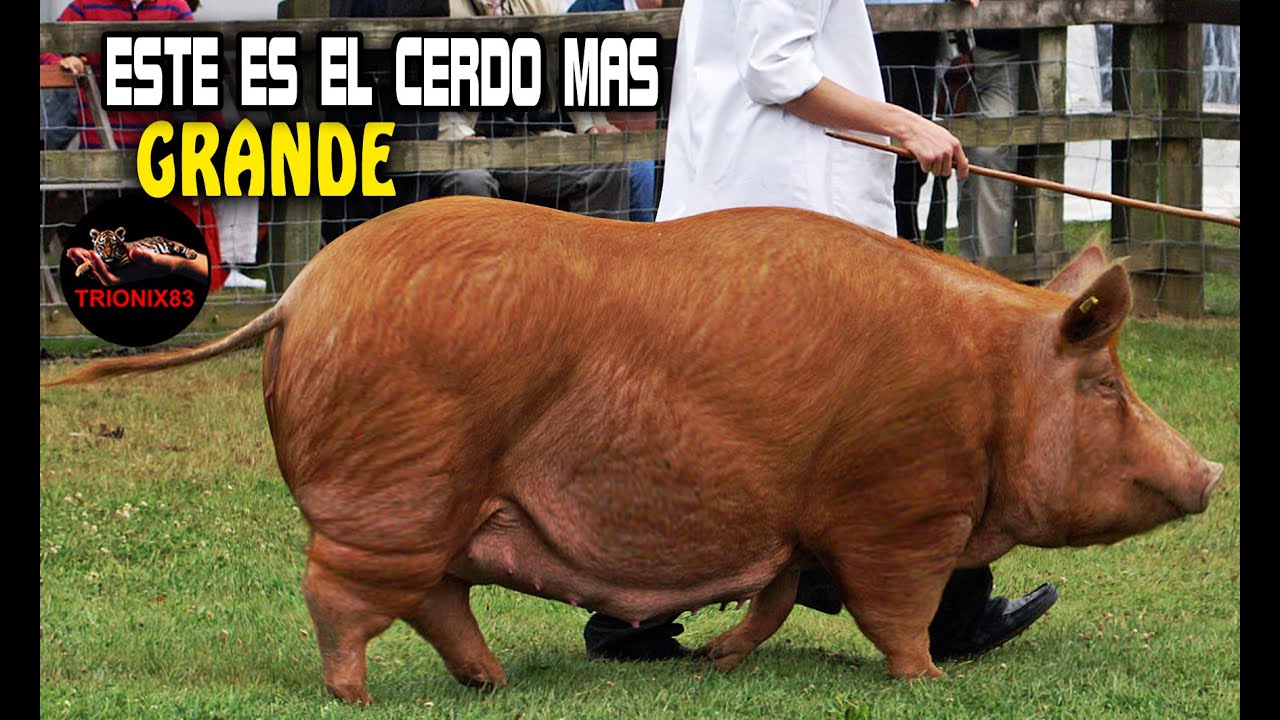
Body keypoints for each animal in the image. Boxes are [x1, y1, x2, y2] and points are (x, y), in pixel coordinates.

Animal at [45, 196, 1222, 704]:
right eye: (1107, 385)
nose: (1213, 470)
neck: (985, 383)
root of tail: (299, 295)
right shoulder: (898, 508)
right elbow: (896, 606)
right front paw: (928, 680)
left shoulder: (802, 519)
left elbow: (775, 595)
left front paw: (715, 661)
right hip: (396, 490)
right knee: (339, 593)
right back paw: (356, 699)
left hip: (448, 504)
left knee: (435, 598)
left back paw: (491, 683)